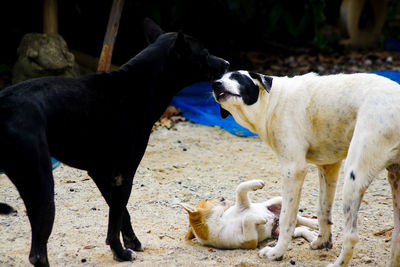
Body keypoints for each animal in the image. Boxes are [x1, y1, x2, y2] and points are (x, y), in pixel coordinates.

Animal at [0, 19, 228, 267]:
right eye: (204, 53)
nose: (227, 63)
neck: (137, 86)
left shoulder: (101, 173)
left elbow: (121, 213)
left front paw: (132, 242)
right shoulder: (123, 176)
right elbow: (115, 219)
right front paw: (120, 252)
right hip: (42, 185)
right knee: (38, 254)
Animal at [180, 180, 318, 251]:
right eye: (207, 199)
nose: (221, 196)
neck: (221, 221)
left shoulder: (244, 204)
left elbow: (240, 188)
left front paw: (256, 184)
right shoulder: (250, 240)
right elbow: (247, 219)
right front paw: (262, 219)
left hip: (278, 200)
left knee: (299, 219)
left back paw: (314, 224)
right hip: (280, 232)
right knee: (297, 228)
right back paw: (312, 234)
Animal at [214, 71, 400, 267]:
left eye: (237, 77)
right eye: (222, 77)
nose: (215, 84)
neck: (273, 101)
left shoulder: (293, 170)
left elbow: (287, 218)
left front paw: (276, 252)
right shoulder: (328, 166)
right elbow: (323, 210)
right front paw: (323, 241)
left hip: (354, 177)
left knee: (351, 235)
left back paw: (336, 264)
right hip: (394, 179)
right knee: (397, 235)